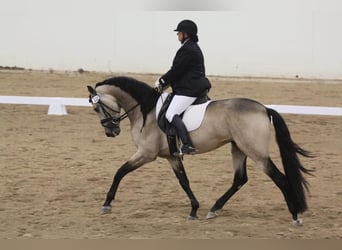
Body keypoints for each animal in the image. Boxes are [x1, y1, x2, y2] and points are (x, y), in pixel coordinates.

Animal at [87, 75, 312, 225]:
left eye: (96, 108)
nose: (111, 132)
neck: (146, 110)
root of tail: (264, 109)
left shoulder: (146, 154)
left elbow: (120, 171)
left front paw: (107, 203)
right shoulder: (171, 156)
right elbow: (184, 181)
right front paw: (194, 209)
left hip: (256, 153)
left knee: (280, 179)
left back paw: (295, 216)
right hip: (238, 148)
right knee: (240, 179)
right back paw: (214, 209)